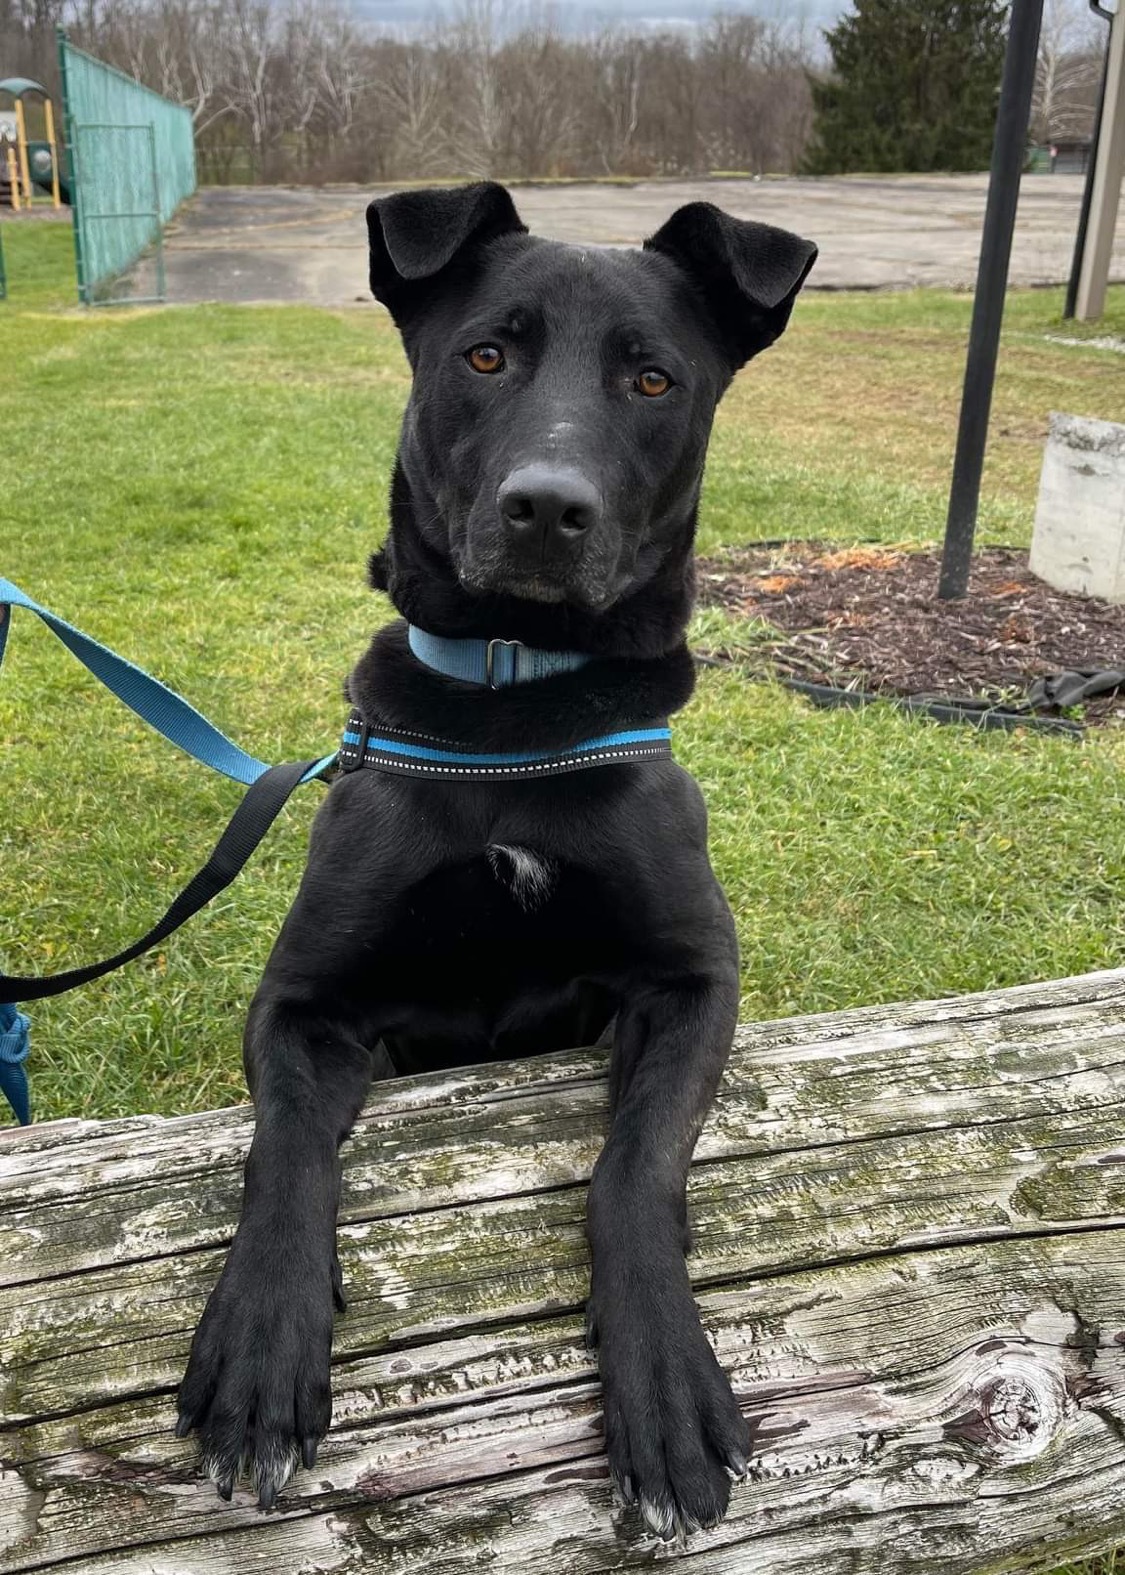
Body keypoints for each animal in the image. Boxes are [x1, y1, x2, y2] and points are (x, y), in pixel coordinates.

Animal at [174, 181, 813, 1537]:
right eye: (484, 357)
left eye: (653, 379)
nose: (547, 509)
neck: (515, 708)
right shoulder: (305, 1001)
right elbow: (284, 1152)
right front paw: (259, 1344)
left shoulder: (693, 982)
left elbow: (632, 1169)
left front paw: (666, 1379)